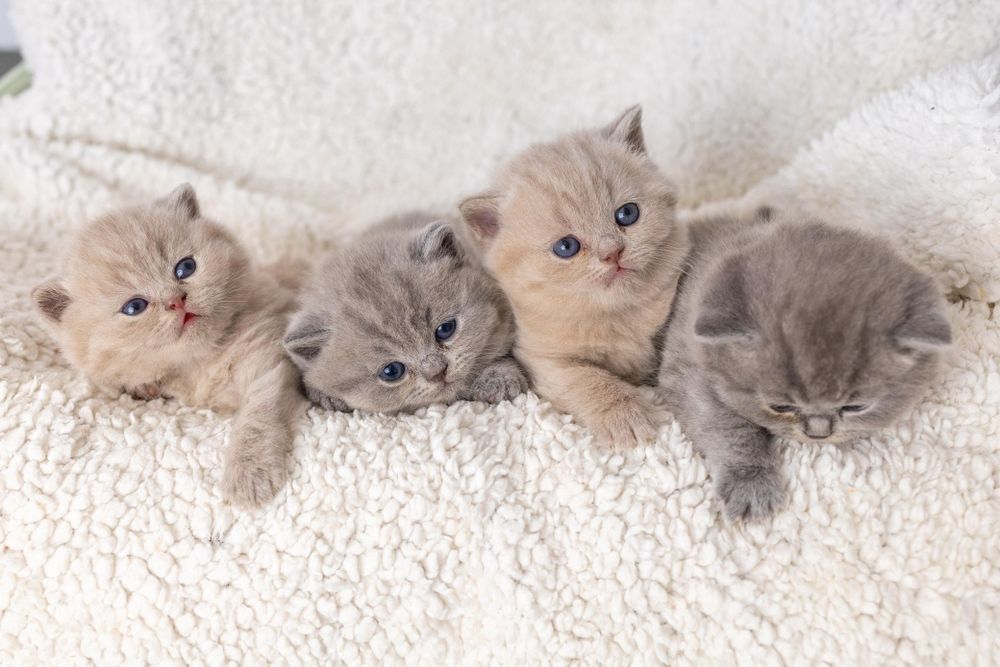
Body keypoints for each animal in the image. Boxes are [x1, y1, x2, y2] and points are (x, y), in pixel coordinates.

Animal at [32, 184, 303, 508]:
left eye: (185, 268)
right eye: (135, 307)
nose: (176, 300)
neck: (199, 360)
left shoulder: (268, 360)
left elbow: (257, 417)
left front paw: (249, 475)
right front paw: (140, 387)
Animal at [456, 105, 688, 449]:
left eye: (627, 214)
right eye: (566, 247)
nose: (612, 252)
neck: (615, 315)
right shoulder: (542, 358)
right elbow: (587, 380)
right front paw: (625, 417)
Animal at [658, 212, 952, 522]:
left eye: (855, 407)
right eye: (781, 407)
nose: (818, 434)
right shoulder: (687, 367)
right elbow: (727, 427)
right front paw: (750, 484)